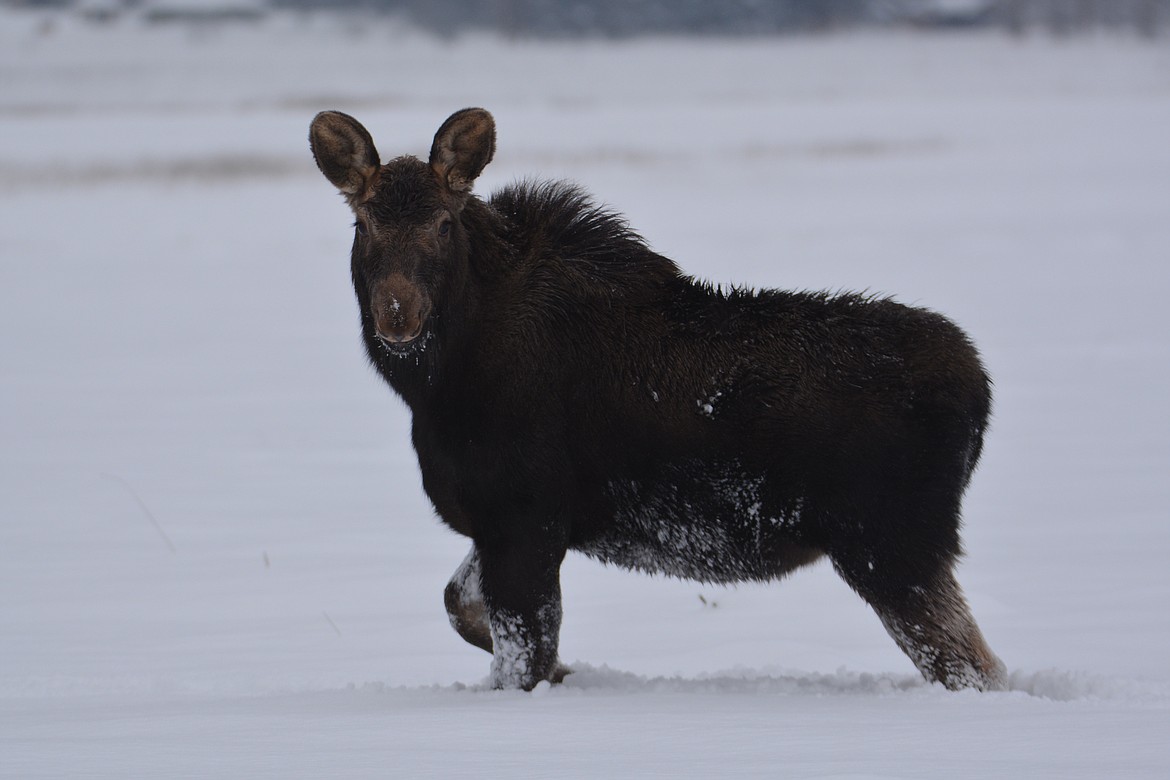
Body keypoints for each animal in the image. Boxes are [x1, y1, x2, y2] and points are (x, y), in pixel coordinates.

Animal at [308, 107, 1006, 692]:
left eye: (443, 223)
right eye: (362, 223)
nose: (397, 314)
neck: (438, 385)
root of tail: (980, 390)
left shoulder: (523, 516)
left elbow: (520, 657)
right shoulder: (501, 521)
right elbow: (462, 607)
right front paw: (571, 671)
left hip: (890, 542)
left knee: (973, 667)